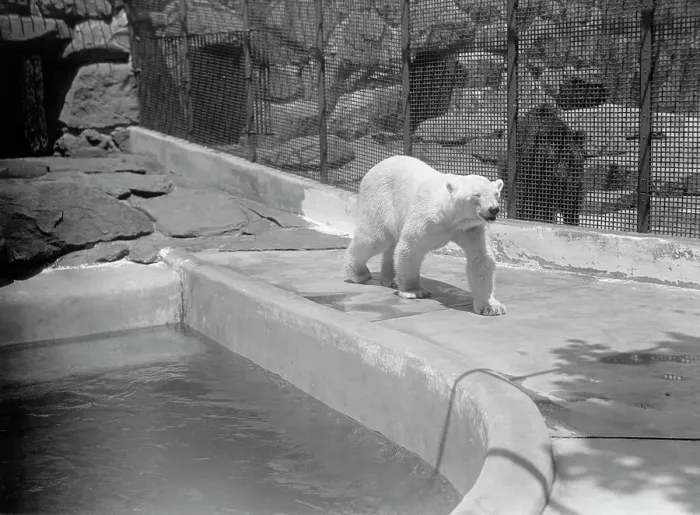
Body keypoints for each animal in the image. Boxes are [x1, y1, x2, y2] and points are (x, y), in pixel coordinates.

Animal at [345, 155, 507, 317]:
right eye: (476, 195)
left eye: (496, 194)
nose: (494, 209)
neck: (450, 216)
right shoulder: (426, 219)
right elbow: (410, 248)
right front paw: (414, 291)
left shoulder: (470, 228)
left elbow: (481, 258)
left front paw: (491, 306)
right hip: (380, 200)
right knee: (374, 238)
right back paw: (359, 274)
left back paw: (390, 280)